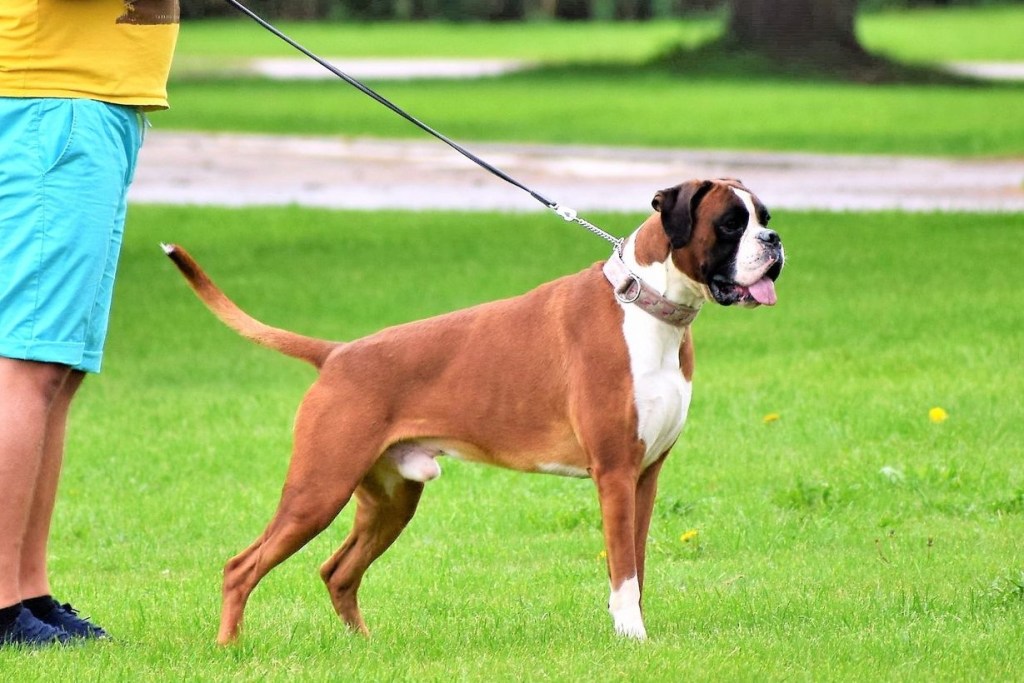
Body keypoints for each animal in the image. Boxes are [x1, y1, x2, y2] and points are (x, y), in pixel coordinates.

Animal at [163, 177, 784, 643]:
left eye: (764, 216)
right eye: (731, 224)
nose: (775, 240)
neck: (647, 306)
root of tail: (337, 353)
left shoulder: (645, 477)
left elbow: (635, 567)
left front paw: (632, 633)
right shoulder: (614, 474)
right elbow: (623, 571)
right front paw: (631, 639)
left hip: (389, 501)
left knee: (337, 572)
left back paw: (365, 646)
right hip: (318, 490)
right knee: (241, 568)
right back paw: (229, 648)